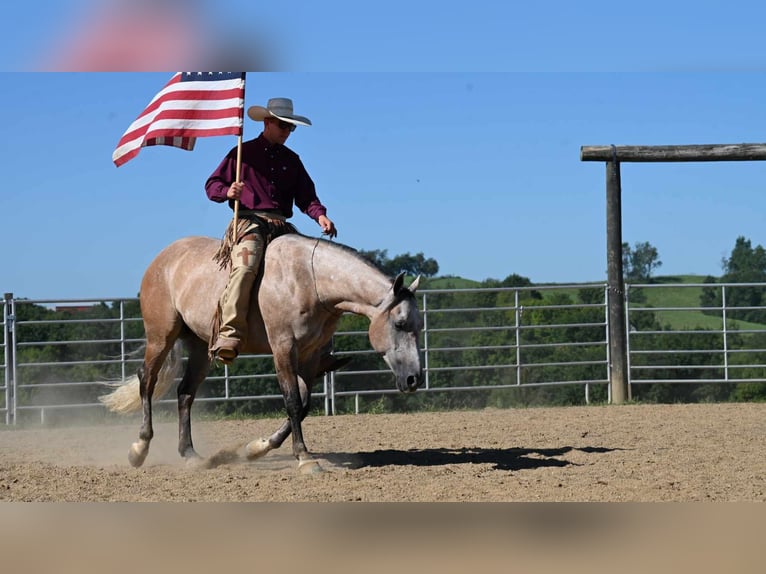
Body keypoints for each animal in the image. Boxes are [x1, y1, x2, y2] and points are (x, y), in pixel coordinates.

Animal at [98, 232, 424, 474]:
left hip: (202, 347)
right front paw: (305, 459)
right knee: (147, 380)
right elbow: (293, 401)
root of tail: (164, 258)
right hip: (161, 335)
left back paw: (190, 454)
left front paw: (256, 448)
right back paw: (139, 449)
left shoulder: (308, 356)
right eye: (400, 323)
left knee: (185, 393)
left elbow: (304, 404)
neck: (309, 281)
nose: (414, 379)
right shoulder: (283, 348)